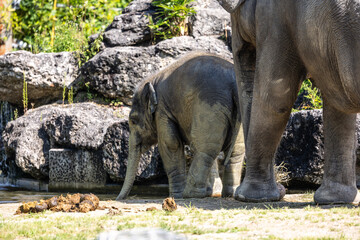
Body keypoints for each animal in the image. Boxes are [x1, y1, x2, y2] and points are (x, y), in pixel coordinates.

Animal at [116, 53, 243, 201]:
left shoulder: (162, 110)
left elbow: (170, 144)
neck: (153, 80)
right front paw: (211, 193)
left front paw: (175, 196)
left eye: (133, 121)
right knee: (235, 151)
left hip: (209, 105)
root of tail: (233, 82)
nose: (118, 199)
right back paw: (228, 194)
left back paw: (189, 194)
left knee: (205, 148)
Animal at [217, 0, 360, 203]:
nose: (282, 189)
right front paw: (334, 200)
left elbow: (274, 99)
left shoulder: (276, 19)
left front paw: (252, 197)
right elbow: (337, 103)